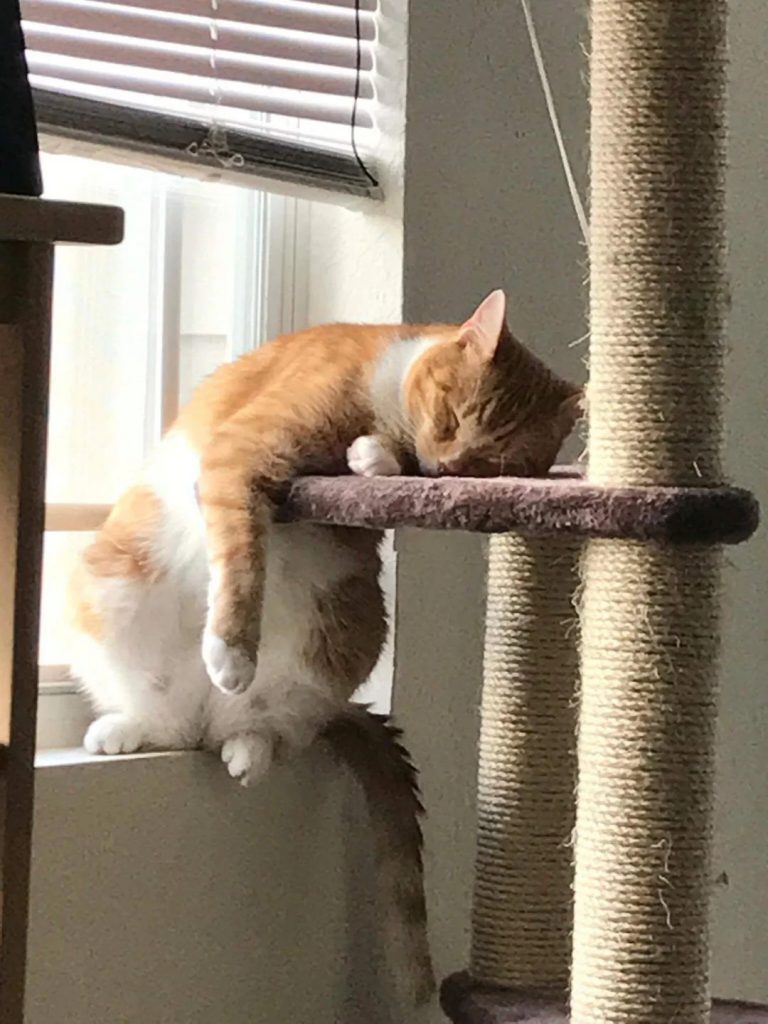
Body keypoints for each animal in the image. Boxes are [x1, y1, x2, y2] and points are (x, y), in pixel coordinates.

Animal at [70, 288, 577, 999]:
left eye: (490, 464)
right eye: (453, 416)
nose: (446, 467)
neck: (379, 398)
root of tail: (203, 721)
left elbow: (374, 469)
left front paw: (378, 457)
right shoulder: (240, 453)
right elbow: (243, 558)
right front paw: (232, 651)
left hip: (347, 631)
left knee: (273, 726)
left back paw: (247, 749)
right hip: (109, 584)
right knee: (170, 722)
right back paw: (132, 727)